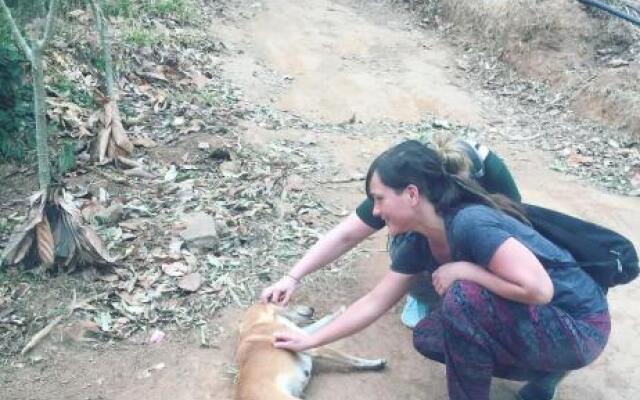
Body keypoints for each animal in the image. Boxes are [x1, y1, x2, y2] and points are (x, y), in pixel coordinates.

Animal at [234, 304, 384, 400]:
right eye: (286, 303)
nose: (312, 308)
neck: (256, 324)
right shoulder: (312, 346)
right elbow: (353, 359)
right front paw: (375, 363)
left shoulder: (305, 336)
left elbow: (323, 321)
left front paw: (337, 311)